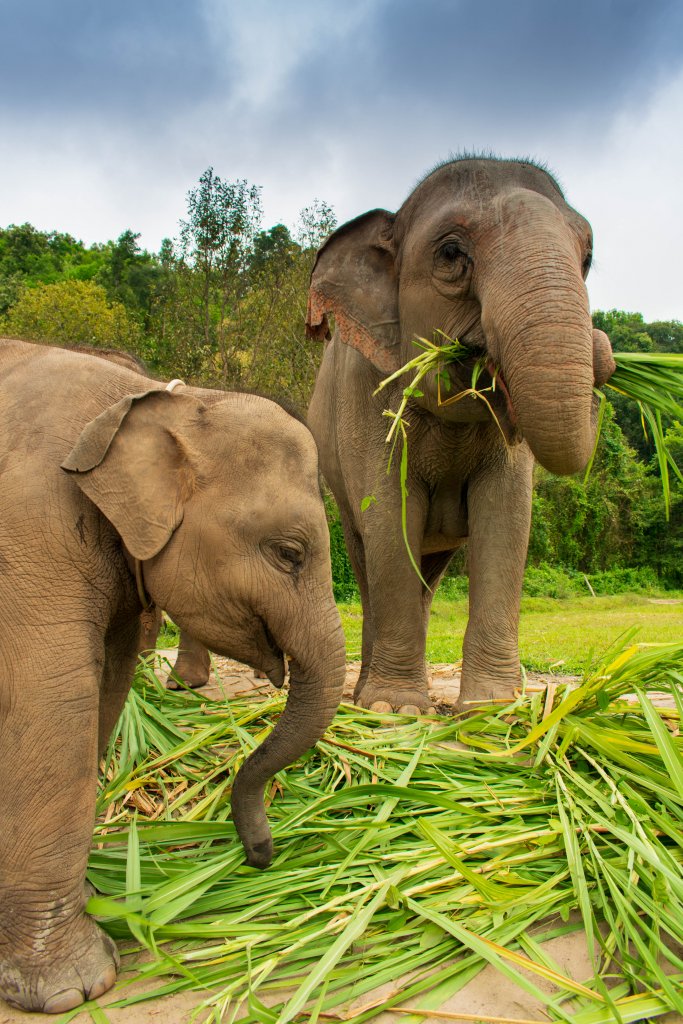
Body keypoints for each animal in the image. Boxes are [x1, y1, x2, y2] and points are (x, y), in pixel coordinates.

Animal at [0, 339, 344, 1011]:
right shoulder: (30, 531)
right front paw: (74, 988)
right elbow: (56, 702)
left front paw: (90, 904)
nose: (261, 854)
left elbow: (106, 688)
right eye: (288, 554)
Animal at [307, 157, 618, 712]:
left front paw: (493, 708)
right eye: (452, 254)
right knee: (368, 562)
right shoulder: (365, 392)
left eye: (587, 257)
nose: (605, 351)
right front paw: (393, 709)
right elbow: (390, 516)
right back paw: (367, 696)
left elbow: (506, 520)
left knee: (429, 577)